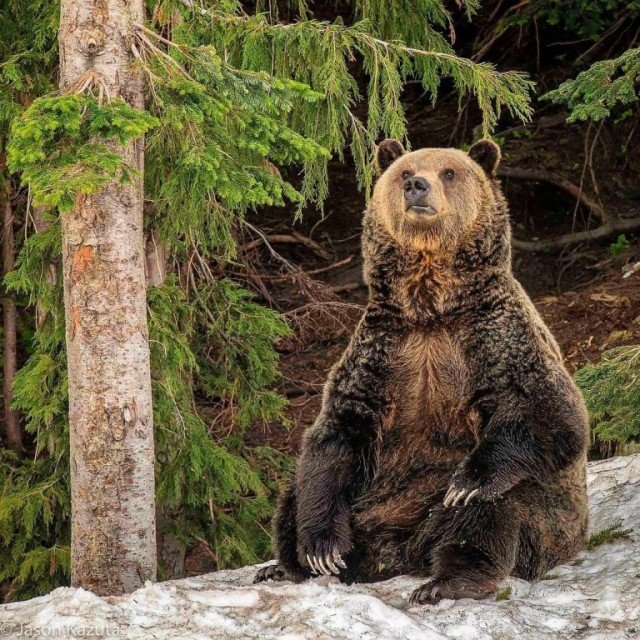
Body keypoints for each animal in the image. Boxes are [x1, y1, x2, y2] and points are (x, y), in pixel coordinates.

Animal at [255, 138, 592, 604]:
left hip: (526, 517)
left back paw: (446, 580)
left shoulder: (495, 337)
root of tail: (394, 552)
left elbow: (549, 410)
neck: (431, 310)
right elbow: (335, 435)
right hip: (371, 499)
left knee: (494, 507)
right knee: (294, 494)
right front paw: (322, 549)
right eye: (404, 170)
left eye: (449, 171)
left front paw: (470, 482)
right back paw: (287, 567)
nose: (416, 185)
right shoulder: (381, 353)